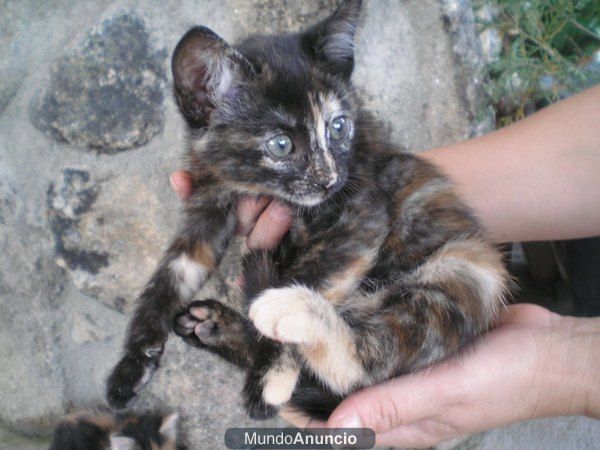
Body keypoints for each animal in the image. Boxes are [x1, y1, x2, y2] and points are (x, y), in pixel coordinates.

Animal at [105, 0, 508, 422]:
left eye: (338, 127)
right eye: (281, 144)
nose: (329, 180)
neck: (252, 187)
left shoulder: (360, 215)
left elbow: (310, 274)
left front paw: (270, 377)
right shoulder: (206, 209)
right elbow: (168, 277)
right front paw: (132, 364)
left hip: (467, 269)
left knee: (361, 365)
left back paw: (280, 313)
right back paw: (217, 326)